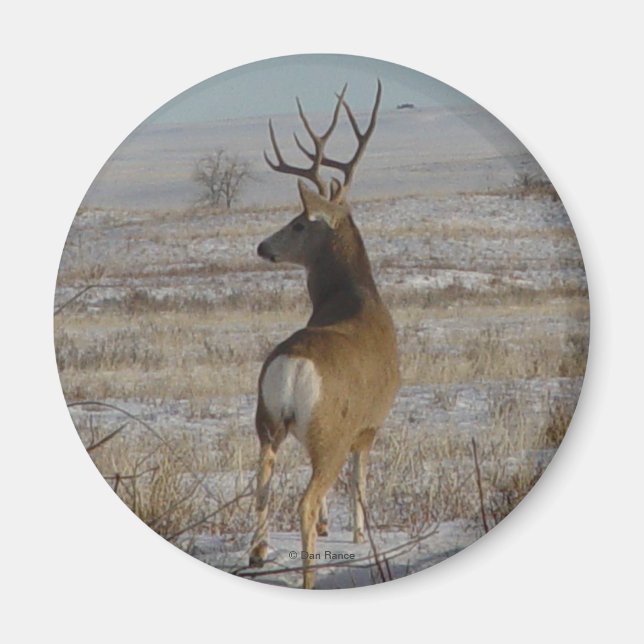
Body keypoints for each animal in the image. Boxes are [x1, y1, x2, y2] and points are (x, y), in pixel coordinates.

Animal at [249, 81, 400, 589]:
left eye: (298, 223)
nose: (263, 246)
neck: (354, 298)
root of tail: (293, 367)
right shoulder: (370, 424)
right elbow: (361, 478)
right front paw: (356, 533)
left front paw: (332, 527)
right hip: (329, 430)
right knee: (306, 497)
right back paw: (309, 576)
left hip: (266, 421)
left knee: (262, 484)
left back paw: (259, 554)